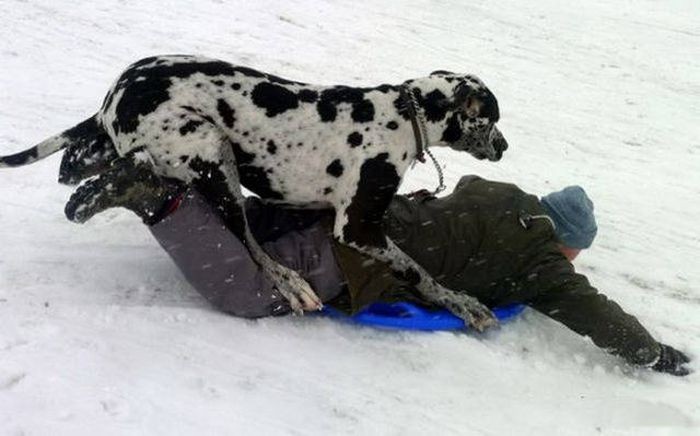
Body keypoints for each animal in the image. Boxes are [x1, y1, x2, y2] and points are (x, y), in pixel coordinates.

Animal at [0, 53, 506, 328]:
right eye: (492, 119)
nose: (504, 146)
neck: (404, 115)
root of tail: (115, 95)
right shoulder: (359, 228)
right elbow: (418, 269)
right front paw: (462, 303)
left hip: (112, 148)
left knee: (71, 166)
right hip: (213, 152)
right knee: (247, 242)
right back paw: (290, 282)